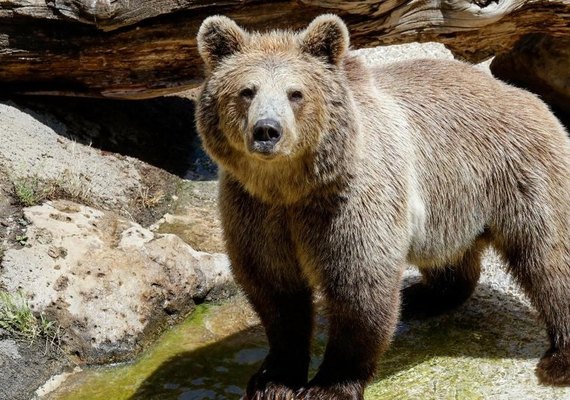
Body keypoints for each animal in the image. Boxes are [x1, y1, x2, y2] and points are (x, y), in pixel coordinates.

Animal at [194, 14, 568, 398]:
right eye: (247, 90)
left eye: (295, 93)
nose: (267, 130)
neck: (290, 187)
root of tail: (524, 95)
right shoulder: (256, 210)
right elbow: (274, 290)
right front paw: (273, 379)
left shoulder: (347, 203)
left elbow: (360, 289)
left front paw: (328, 385)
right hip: (451, 205)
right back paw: (425, 296)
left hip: (520, 173)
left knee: (548, 257)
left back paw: (557, 361)